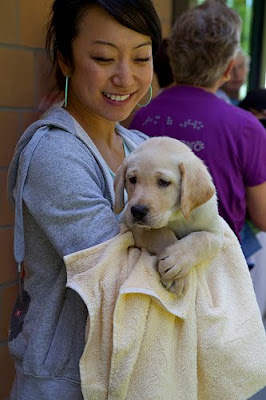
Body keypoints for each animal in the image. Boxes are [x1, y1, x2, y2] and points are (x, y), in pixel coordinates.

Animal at [113, 136, 223, 296]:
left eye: (163, 182)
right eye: (132, 179)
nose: (137, 211)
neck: (176, 216)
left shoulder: (217, 233)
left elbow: (201, 238)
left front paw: (178, 258)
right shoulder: (131, 225)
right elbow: (161, 232)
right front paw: (178, 276)